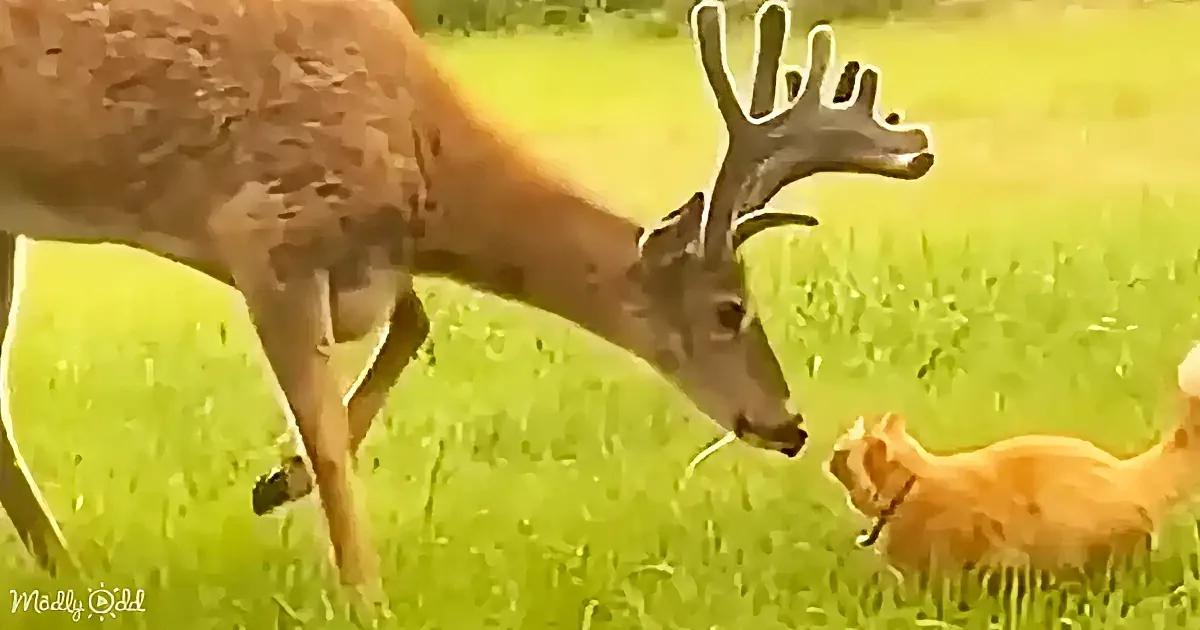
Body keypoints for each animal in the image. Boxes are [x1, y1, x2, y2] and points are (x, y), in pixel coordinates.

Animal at [0, 0, 932, 592]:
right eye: (729, 310)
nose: (789, 423)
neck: (425, 165)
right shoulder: (267, 226)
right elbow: (331, 437)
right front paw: (364, 594)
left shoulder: (355, 264)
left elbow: (412, 326)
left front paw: (276, 483)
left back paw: (70, 573)